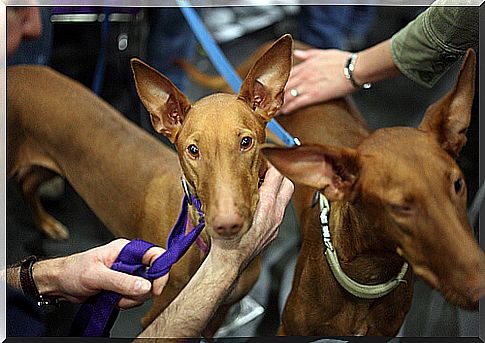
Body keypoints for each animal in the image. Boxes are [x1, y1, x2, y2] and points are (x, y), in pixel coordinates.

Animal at [6, 33, 292, 334]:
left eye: (246, 142)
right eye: (193, 150)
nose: (227, 223)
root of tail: (13, 71)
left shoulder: (218, 315)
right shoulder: (155, 316)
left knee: (27, 181)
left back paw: (47, 224)